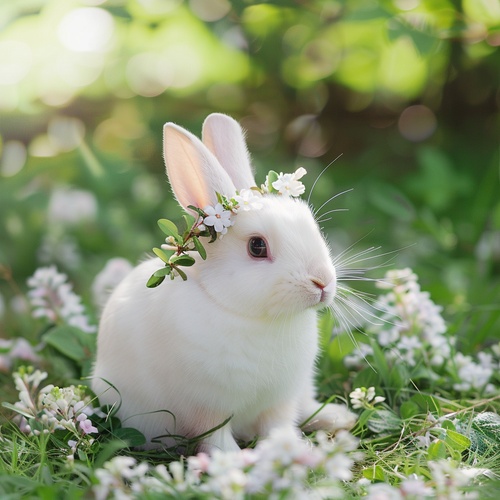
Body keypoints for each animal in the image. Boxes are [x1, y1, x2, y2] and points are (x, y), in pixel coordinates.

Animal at [92, 114, 358, 454]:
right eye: (257, 247)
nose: (322, 283)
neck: (253, 317)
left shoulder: (279, 400)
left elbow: (280, 425)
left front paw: (291, 450)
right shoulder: (206, 408)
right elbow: (215, 436)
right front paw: (233, 460)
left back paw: (340, 418)